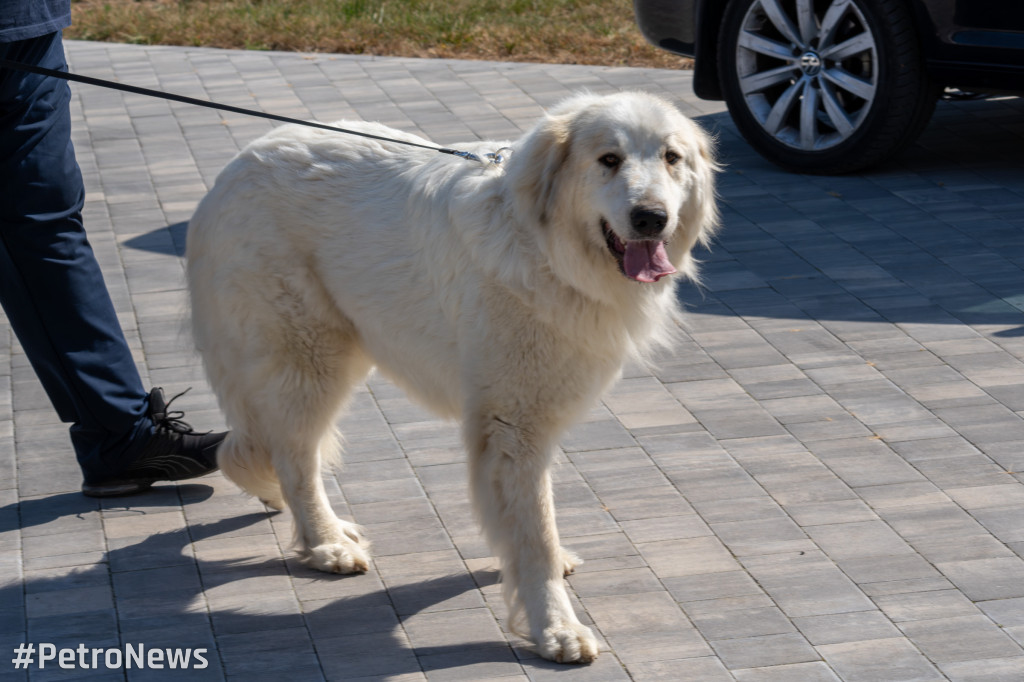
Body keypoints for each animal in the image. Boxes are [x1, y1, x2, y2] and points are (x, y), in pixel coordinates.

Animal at [190, 90, 720, 659]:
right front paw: (555, 628)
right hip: (309, 358)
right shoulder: (513, 424)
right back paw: (327, 543)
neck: (545, 249)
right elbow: (534, 533)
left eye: (671, 158)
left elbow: (529, 527)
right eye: (609, 159)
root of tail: (235, 167)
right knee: (296, 460)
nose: (651, 218)